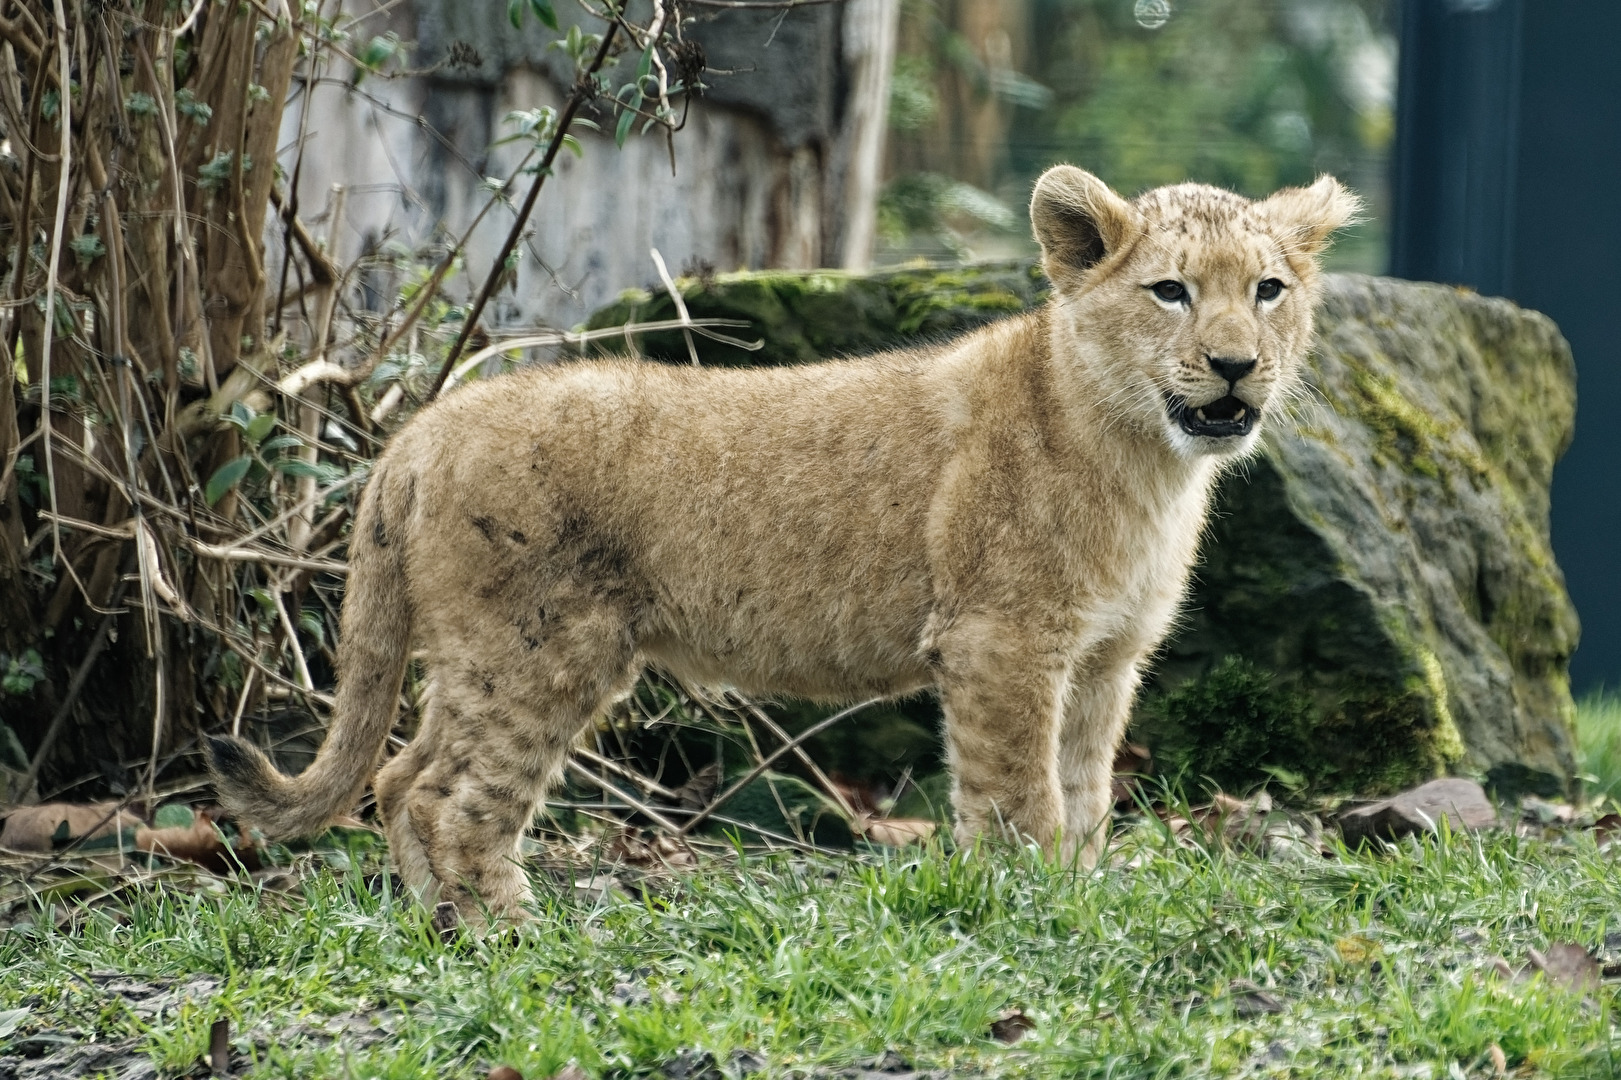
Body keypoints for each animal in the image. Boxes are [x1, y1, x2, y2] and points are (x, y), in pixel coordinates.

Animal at [210, 165, 1357, 925]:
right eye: (1169, 290)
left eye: (1267, 290)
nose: (1234, 365)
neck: (1142, 460)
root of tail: (422, 431)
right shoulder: (1001, 642)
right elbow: (1019, 794)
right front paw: (1028, 909)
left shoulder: (1105, 657)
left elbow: (1083, 793)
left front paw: (1077, 900)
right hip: (538, 646)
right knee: (449, 792)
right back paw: (504, 932)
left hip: (480, 653)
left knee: (398, 778)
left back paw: (435, 926)